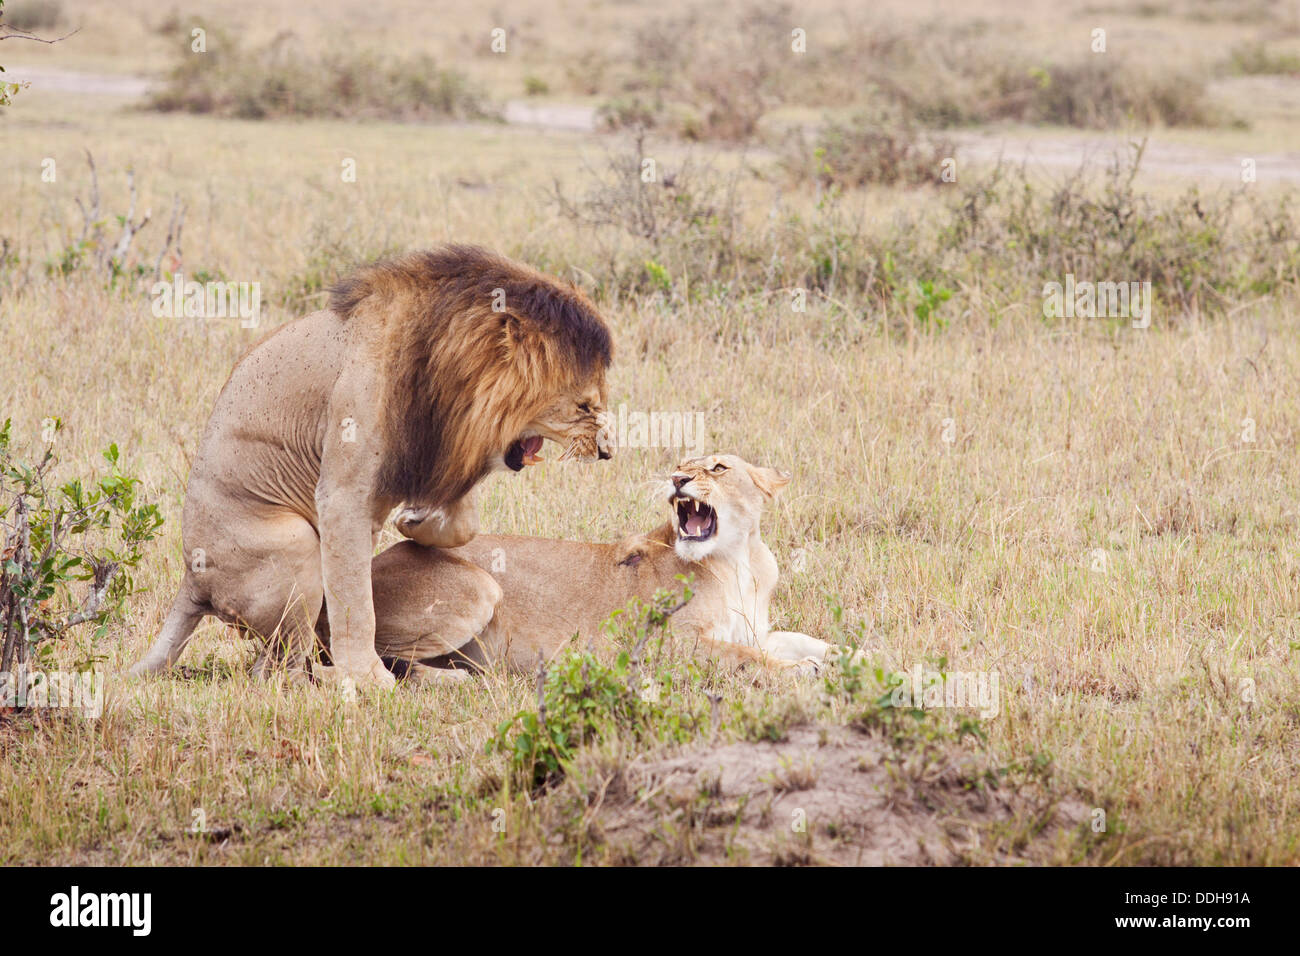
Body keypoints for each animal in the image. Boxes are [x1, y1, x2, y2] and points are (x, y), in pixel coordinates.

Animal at [131, 245, 614, 688]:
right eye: (585, 406)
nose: (607, 452)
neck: (446, 378)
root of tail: (193, 582)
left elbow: (465, 523)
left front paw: (415, 521)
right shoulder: (342, 494)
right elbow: (357, 603)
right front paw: (368, 679)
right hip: (295, 546)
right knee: (280, 673)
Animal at [363, 453, 838, 679]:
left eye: (718, 467)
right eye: (680, 465)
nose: (677, 480)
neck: (737, 561)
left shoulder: (755, 630)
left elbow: (800, 639)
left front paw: (848, 654)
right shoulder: (667, 643)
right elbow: (746, 657)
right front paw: (800, 671)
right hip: (480, 590)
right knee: (374, 658)